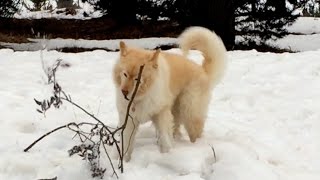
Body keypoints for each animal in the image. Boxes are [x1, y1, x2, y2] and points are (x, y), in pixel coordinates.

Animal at [112, 26, 228, 161]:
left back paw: (195, 148)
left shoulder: (161, 114)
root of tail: (202, 70)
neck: (140, 97)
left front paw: (168, 155)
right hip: (177, 112)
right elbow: (126, 143)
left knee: (195, 133)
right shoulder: (129, 120)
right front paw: (122, 161)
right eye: (125, 74)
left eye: (137, 78)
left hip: (189, 111)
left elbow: (165, 138)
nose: (124, 92)